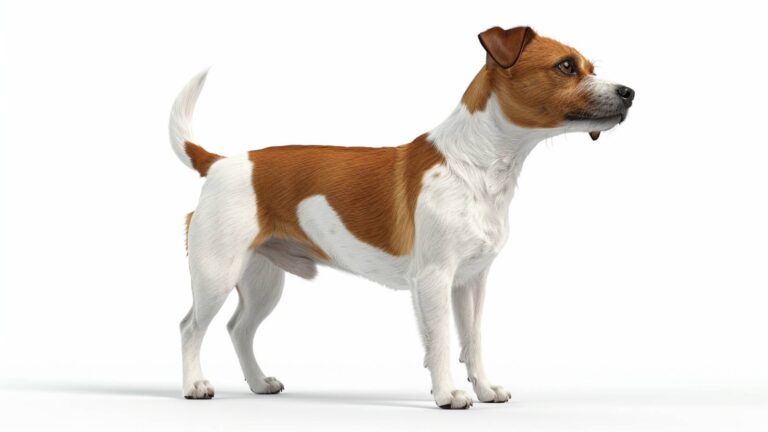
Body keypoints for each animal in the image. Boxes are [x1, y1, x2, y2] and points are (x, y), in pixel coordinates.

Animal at [174, 26, 636, 408]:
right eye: (565, 66)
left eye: (591, 68)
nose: (629, 91)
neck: (476, 166)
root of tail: (219, 162)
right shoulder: (433, 279)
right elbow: (442, 341)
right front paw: (449, 394)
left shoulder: (471, 282)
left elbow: (473, 340)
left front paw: (484, 389)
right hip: (217, 273)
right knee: (191, 327)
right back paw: (195, 385)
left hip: (263, 282)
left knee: (239, 329)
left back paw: (258, 383)